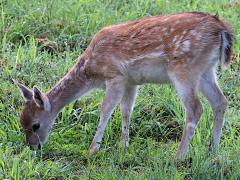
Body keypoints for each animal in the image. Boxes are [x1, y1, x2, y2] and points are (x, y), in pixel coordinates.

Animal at [13, 11, 232, 160]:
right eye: (21, 123)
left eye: (35, 125)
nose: (33, 147)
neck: (90, 71)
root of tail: (222, 29)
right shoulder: (131, 81)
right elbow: (126, 110)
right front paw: (123, 146)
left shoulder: (115, 76)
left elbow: (106, 110)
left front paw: (92, 150)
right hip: (206, 71)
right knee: (220, 101)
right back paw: (213, 150)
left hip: (184, 69)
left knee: (195, 108)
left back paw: (178, 157)